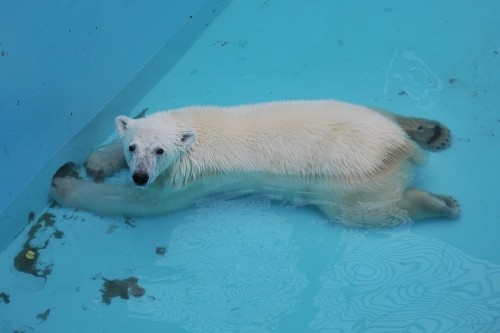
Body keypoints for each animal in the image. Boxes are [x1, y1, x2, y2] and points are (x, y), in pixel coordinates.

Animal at [48, 100, 458, 227]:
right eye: (133, 147)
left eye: (159, 152)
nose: (139, 175)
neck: (193, 132)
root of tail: (399, 148)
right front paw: (97, 160)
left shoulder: (185, 180)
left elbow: (144, 203)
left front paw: (64, 183)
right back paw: (429, 130)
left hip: (348, 184)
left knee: (366, 213)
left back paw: (441, 202)